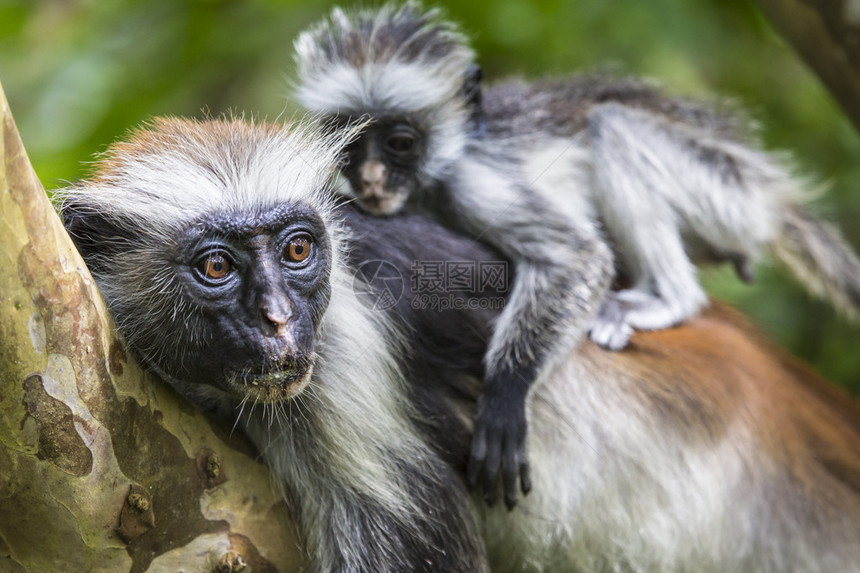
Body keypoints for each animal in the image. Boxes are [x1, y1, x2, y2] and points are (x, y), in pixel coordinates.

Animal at [292, 3, 860, 504]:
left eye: (400, 144)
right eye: (351, 145)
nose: (371, 180)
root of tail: (769, 197)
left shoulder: (471, 183)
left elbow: (577, 257)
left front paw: (506, 392)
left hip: (723, 191)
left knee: (613, 127)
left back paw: (668, 298)